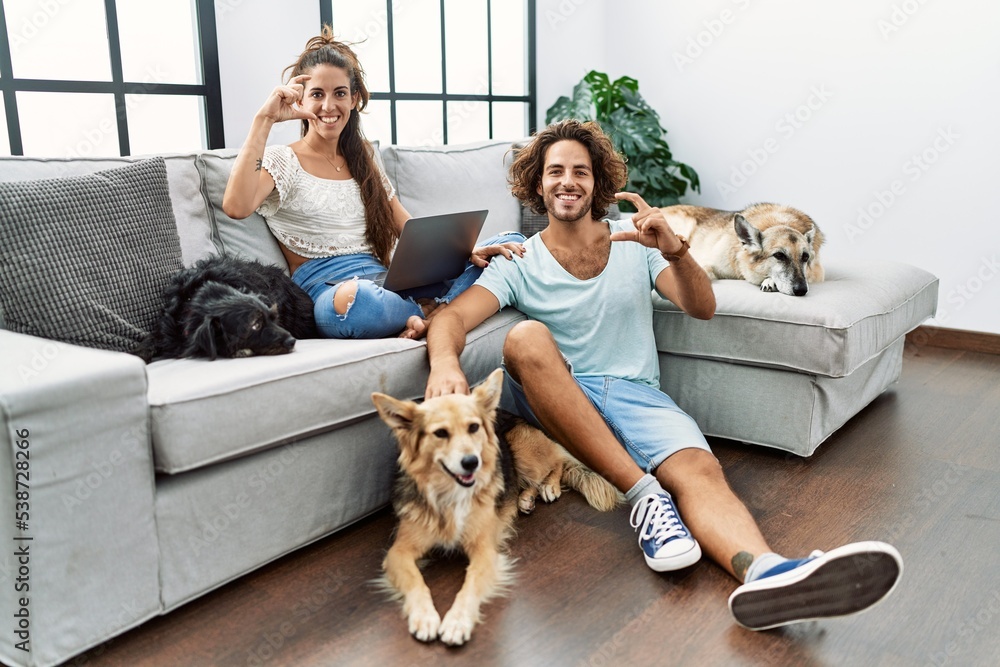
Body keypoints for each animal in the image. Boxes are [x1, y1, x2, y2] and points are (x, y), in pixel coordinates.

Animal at [370, 370, 616, 648]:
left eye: (474, 427)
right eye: (440, 433)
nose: (471, 462)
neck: (450, 494)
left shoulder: (484, 550)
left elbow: (470, 584)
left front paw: (457, 622)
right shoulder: (399, 552)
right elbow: (415, 581)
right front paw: (425, 617)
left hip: (522, 450)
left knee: (558, 463)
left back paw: (549, 486)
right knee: (522, 483)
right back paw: (525, 499)